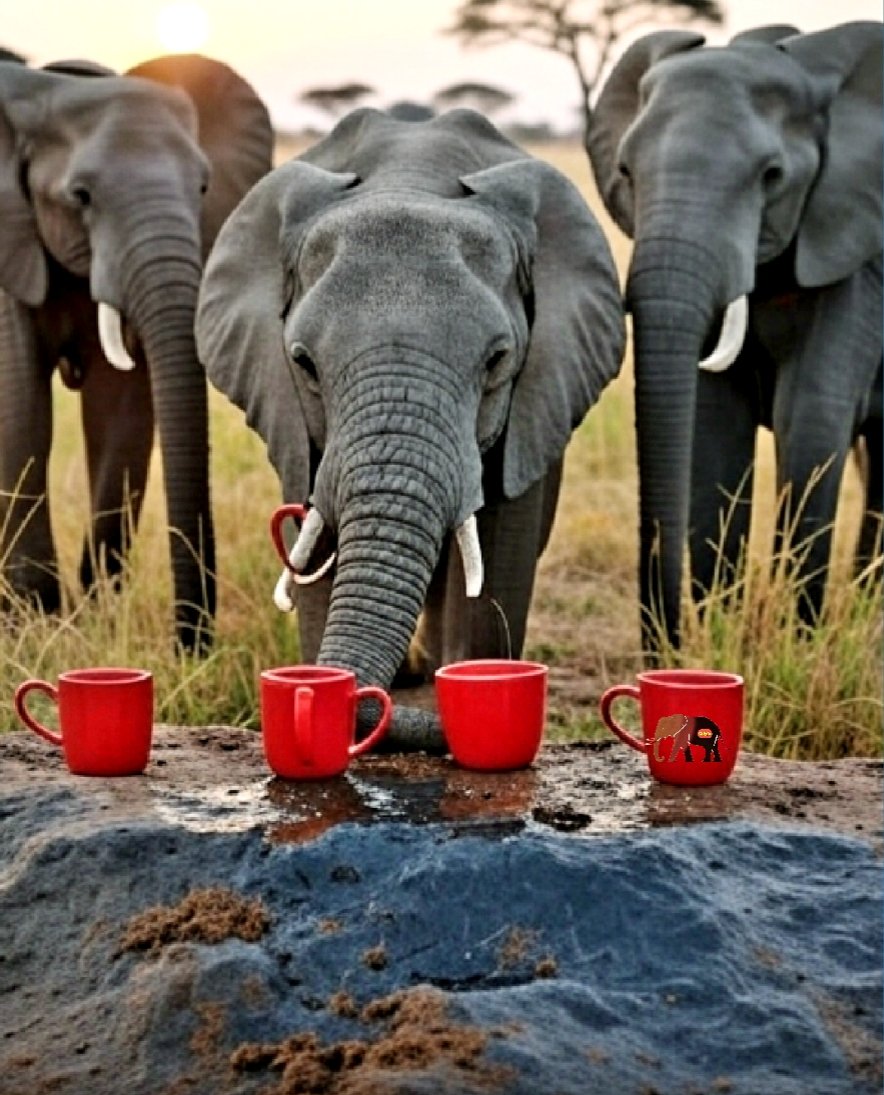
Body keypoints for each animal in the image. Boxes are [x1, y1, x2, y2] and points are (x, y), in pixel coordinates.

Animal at [0, 53, 274, 650]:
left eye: (203, 188)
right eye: (80, 196)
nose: (191, 649)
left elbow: (119, 410)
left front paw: (97, 625)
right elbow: (21, 414)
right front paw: (35, 631)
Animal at [587, 21, 883, 652]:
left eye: (772, 177)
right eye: (626, 173)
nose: (665, 646)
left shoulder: (855, 250)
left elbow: (810, 417)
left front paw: (797, 647)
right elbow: (715, 428)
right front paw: (722, 637)